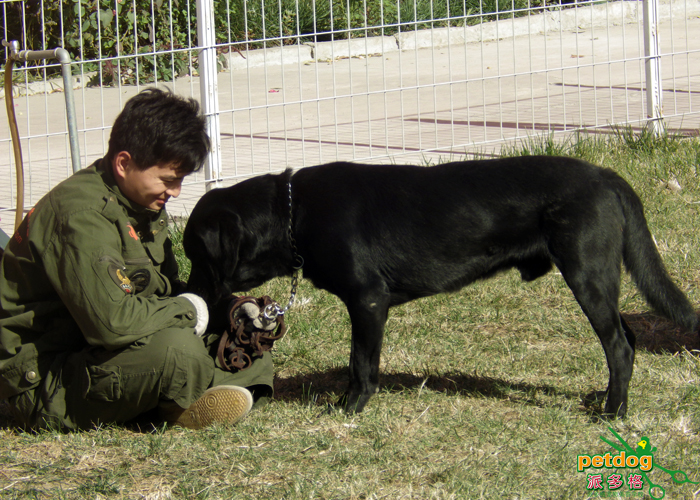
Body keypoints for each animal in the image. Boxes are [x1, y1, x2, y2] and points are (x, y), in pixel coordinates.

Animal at [183, 158, 696, 416]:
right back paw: (609, 400)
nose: (189, 300)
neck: (293, 214)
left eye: (195, 254)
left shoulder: (368, 300)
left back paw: (613, 413)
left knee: (619, 344)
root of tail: (608, 177)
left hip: (586, 273)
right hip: (596, 277)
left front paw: (349, 407)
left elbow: (361, 364)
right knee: (627, 338)